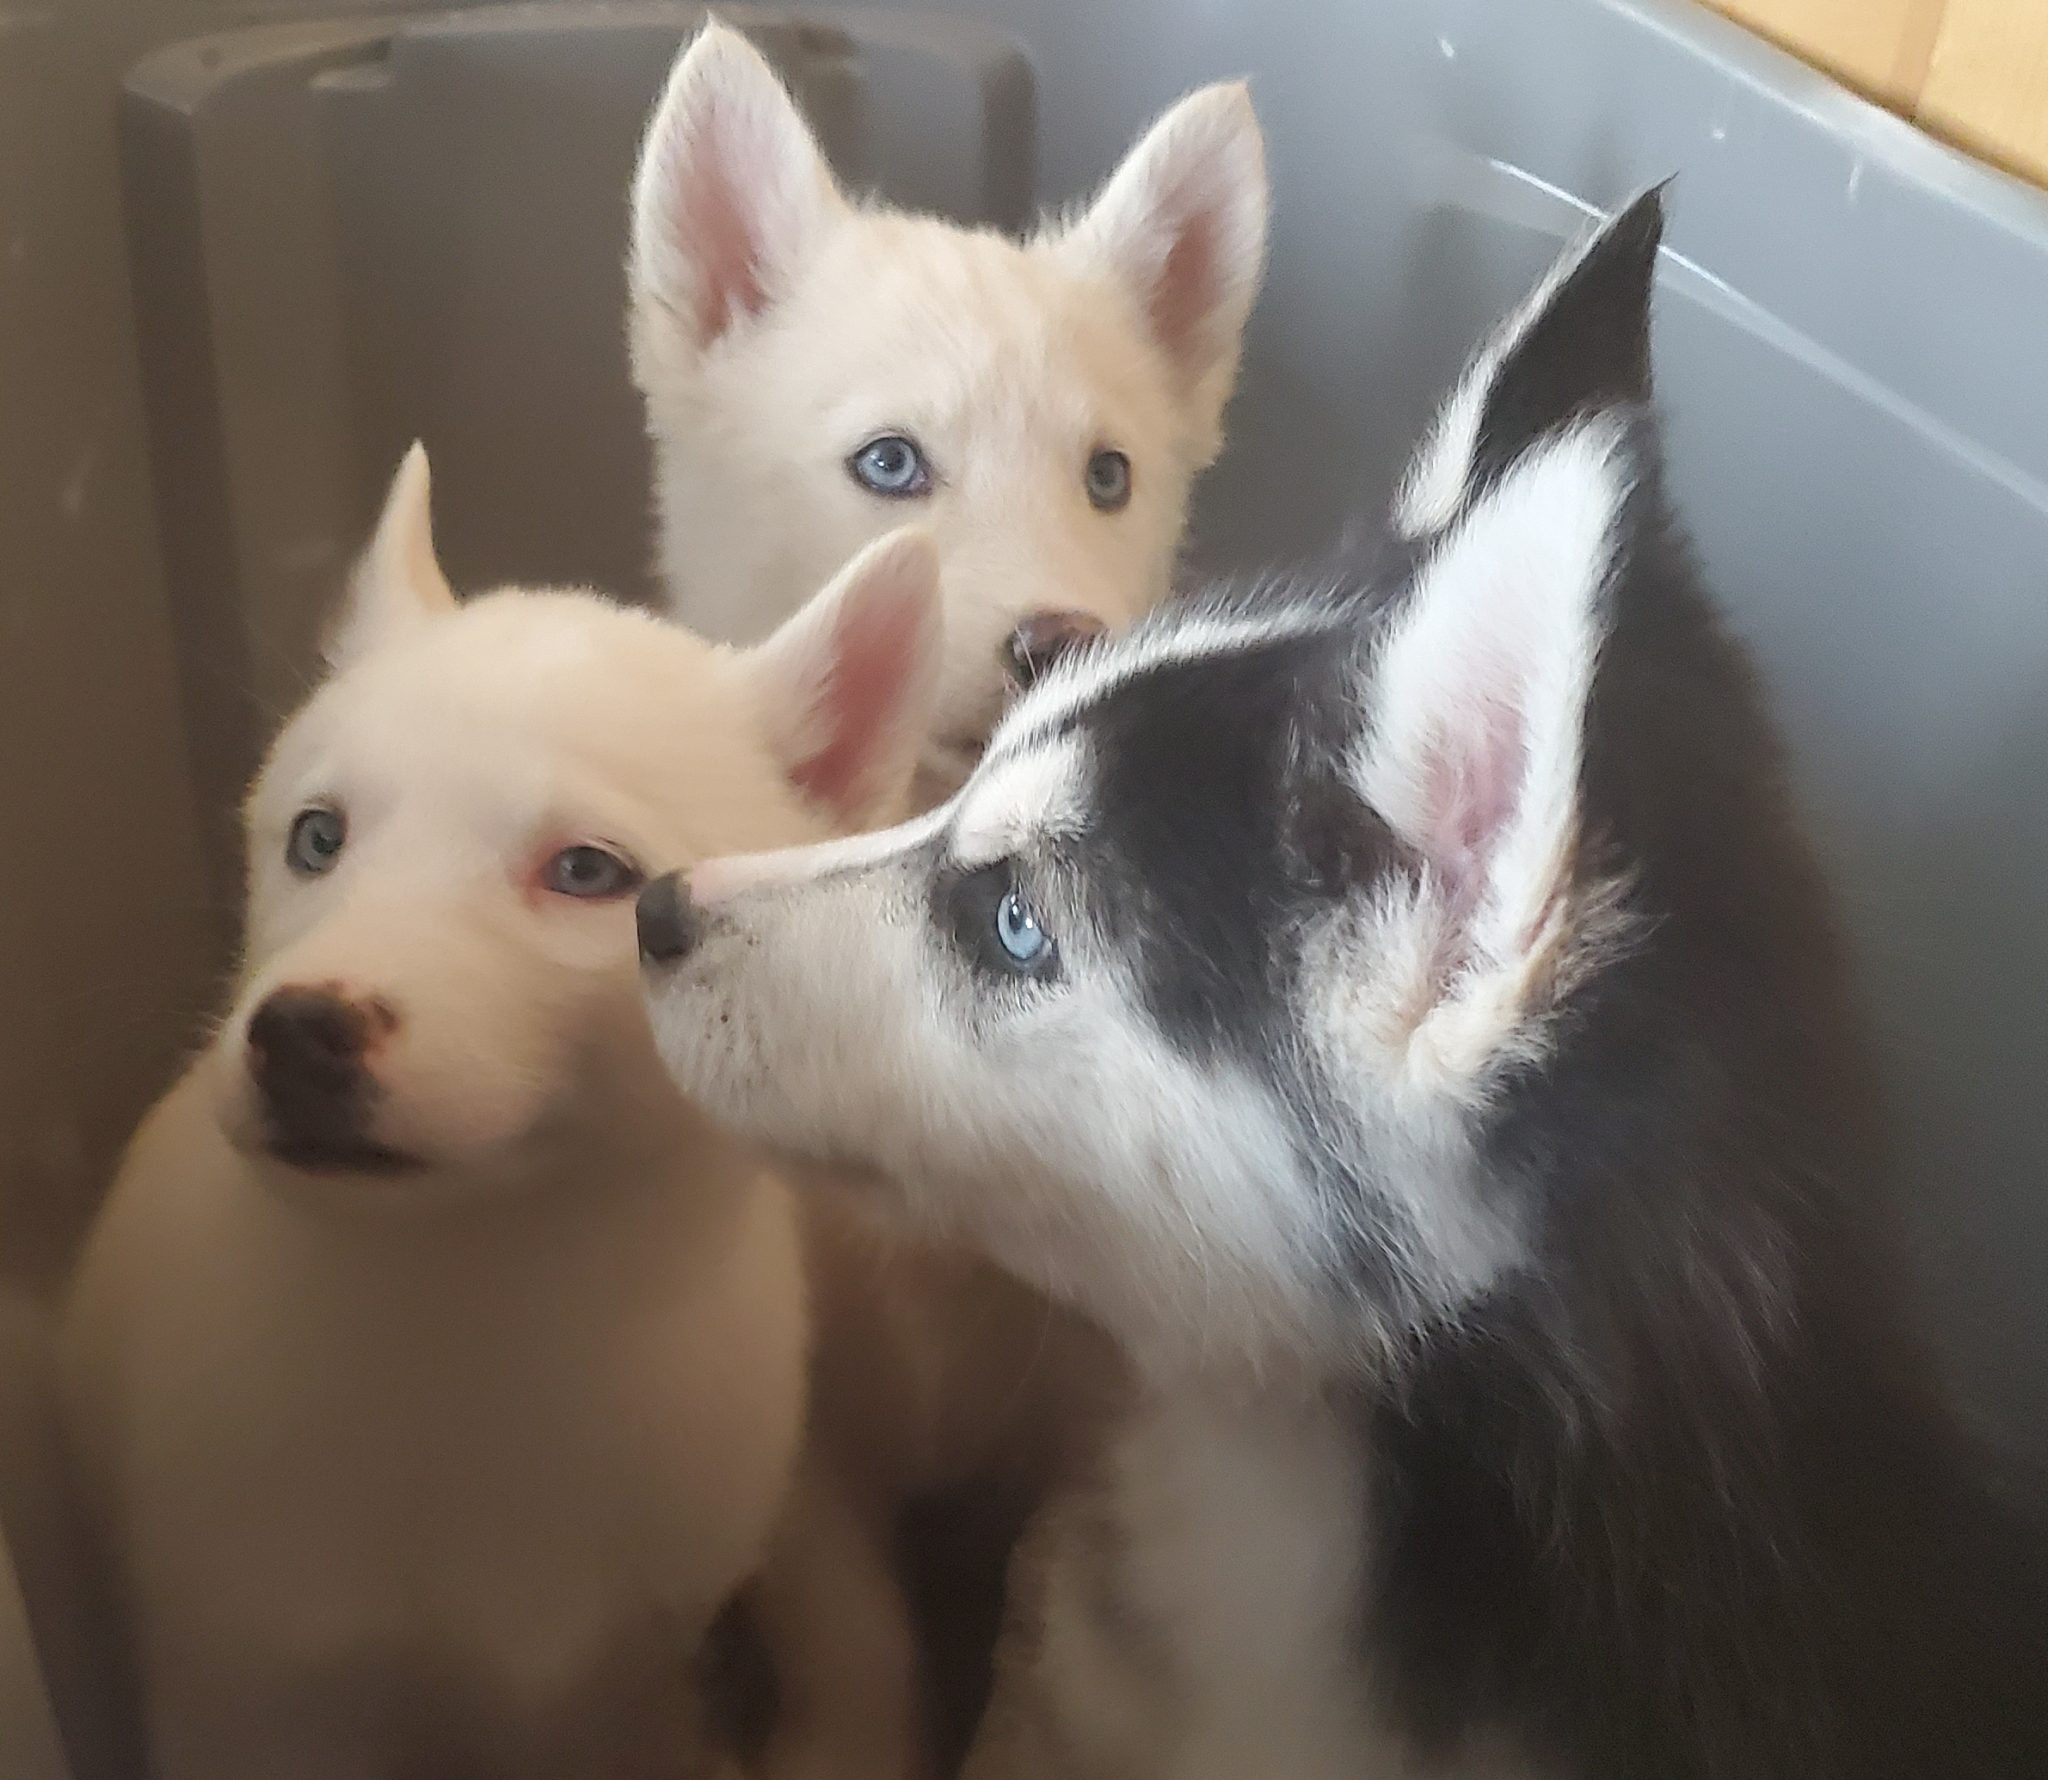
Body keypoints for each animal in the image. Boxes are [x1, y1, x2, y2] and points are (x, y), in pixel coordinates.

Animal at [58, 448, 982, 1780]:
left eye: (587, 872)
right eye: (316, 836)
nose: (297, 1035)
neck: (487, 1304)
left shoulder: (620, 1680)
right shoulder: (249, 1685)